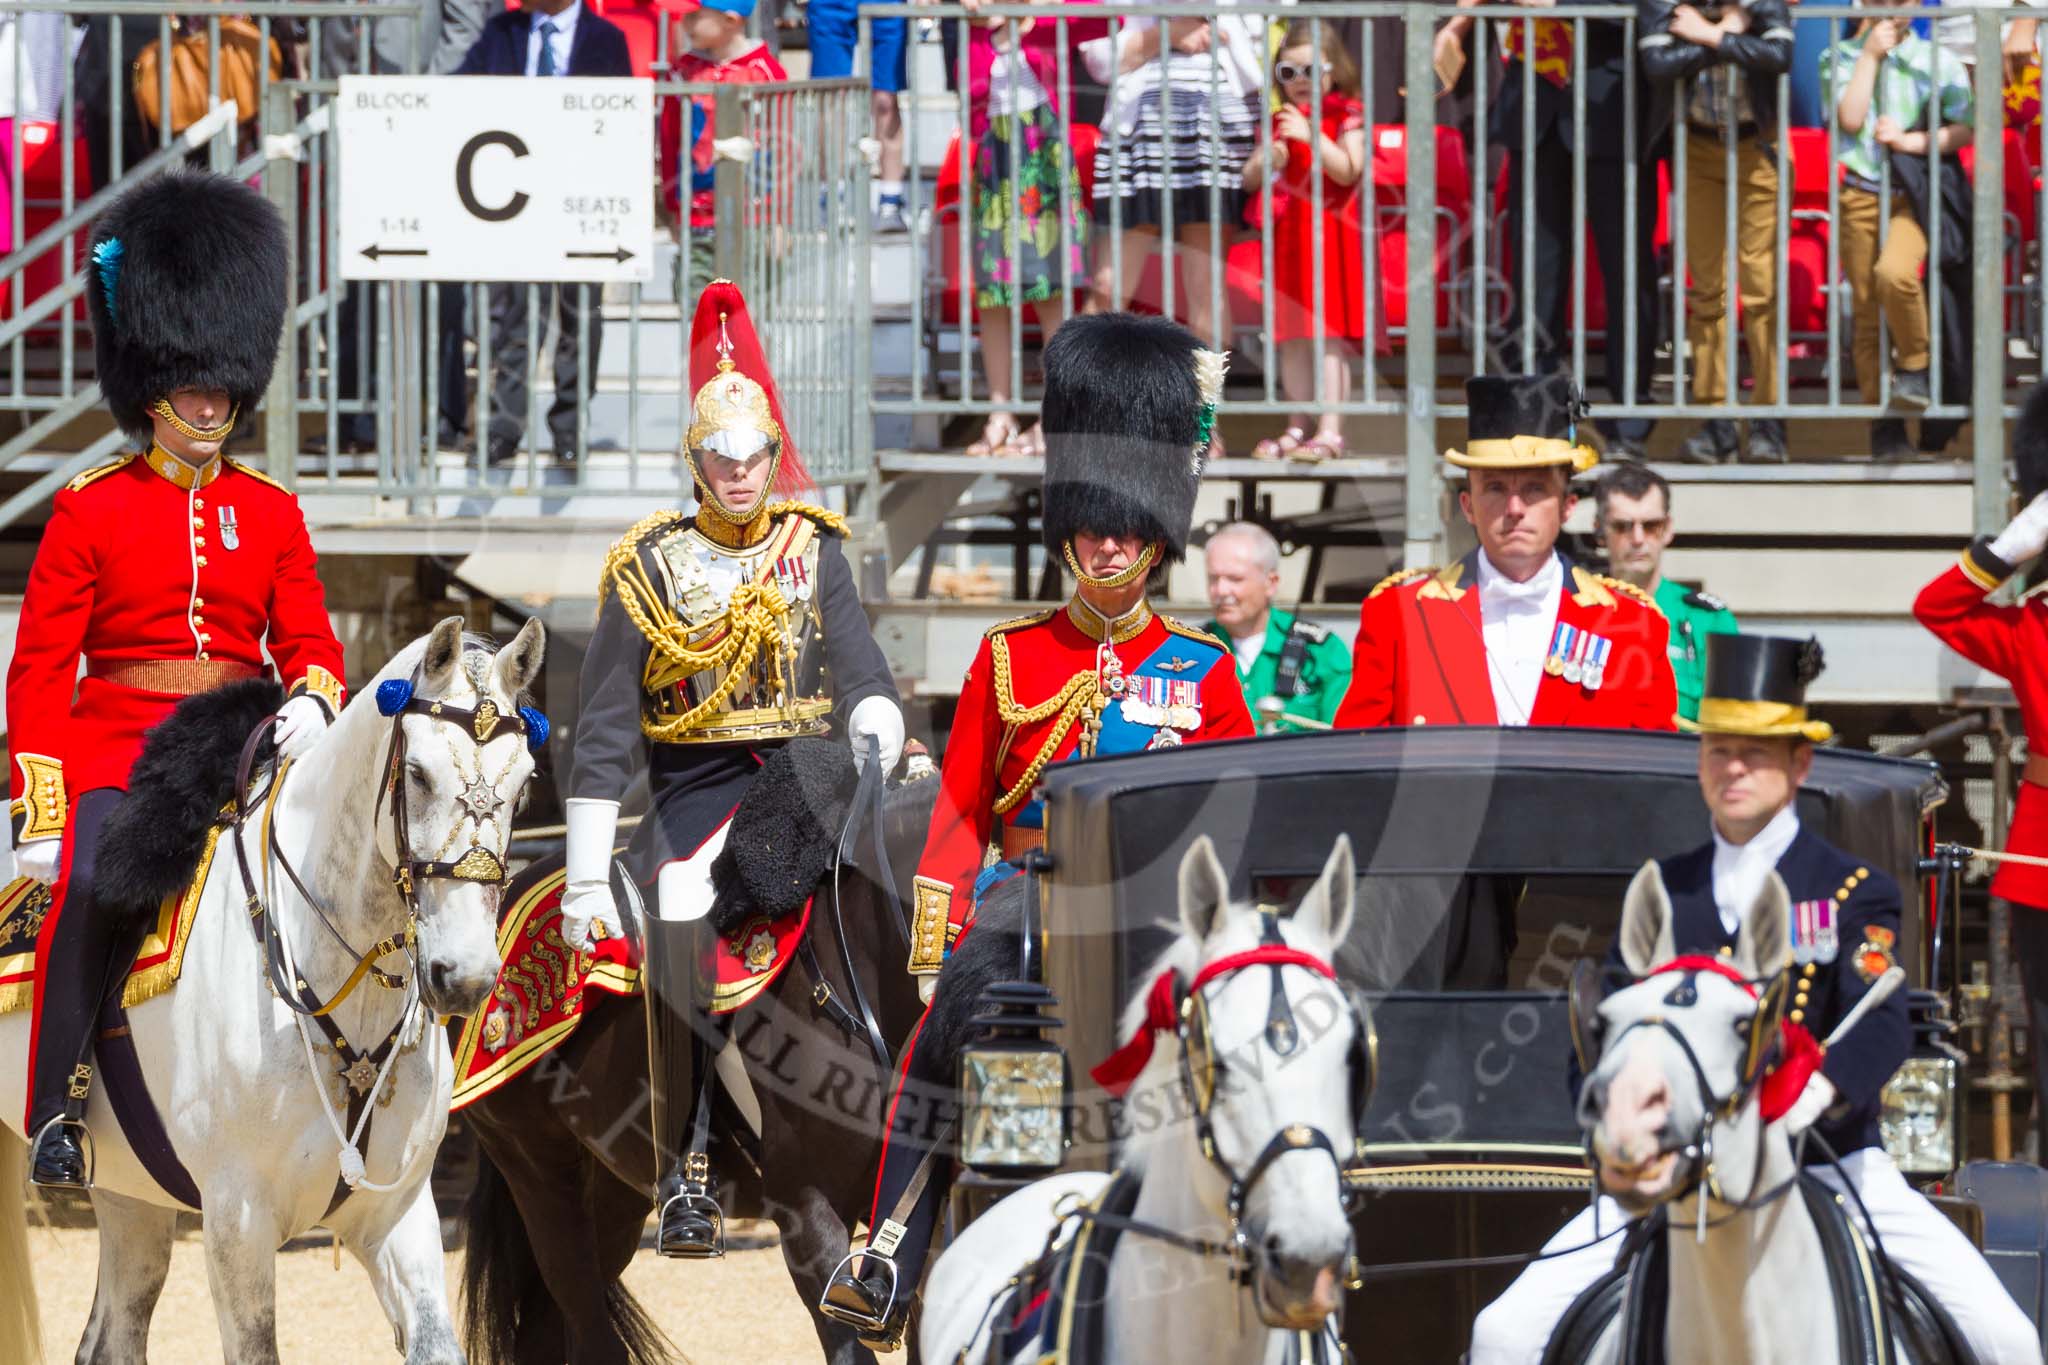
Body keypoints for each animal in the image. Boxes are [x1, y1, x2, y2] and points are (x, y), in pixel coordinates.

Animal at [0, 622, 544, 1365]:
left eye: (525, 784)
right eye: (418, 773)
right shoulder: (238, 1221)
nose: (464, 975)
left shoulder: (399, 1212)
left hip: (127, 1188)